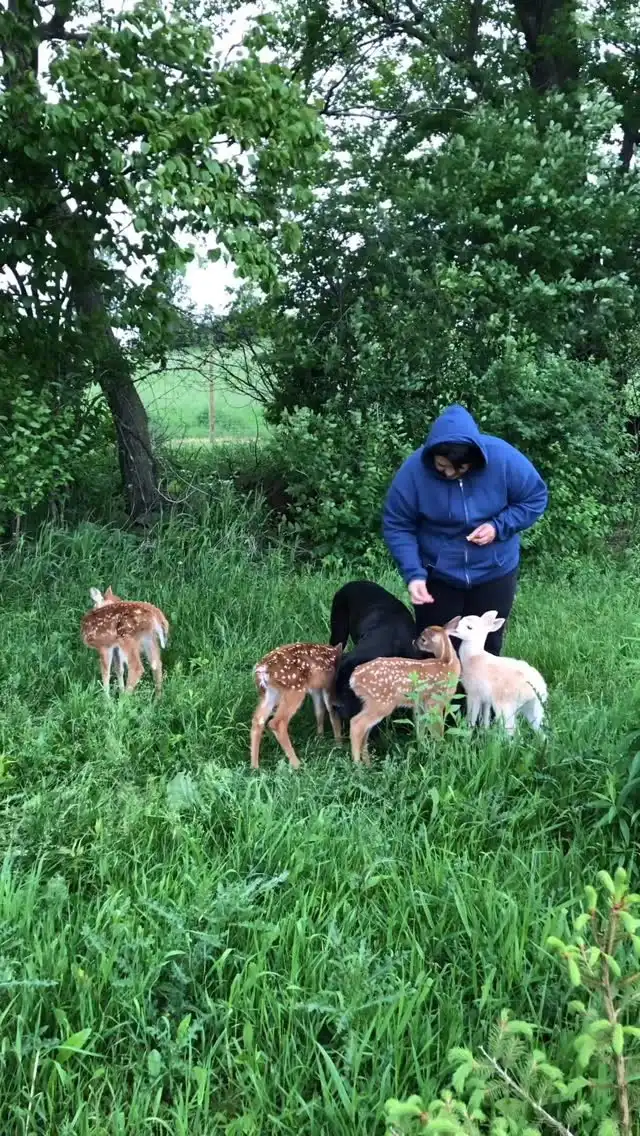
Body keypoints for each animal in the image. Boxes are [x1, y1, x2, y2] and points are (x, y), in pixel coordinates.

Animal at [347, 617, 462, 765]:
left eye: (423, 639)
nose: (414, 642)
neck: (447, 664)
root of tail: (354, 679)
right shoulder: (435, 701)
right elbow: (437, 730)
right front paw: (440, 750)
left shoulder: (421, 704)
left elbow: (420, 727)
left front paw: (422, 749)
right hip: (381, 702)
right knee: (356, 724)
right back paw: (357, 764)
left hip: (370, 702)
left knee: (365, 730)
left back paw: (368, 763)